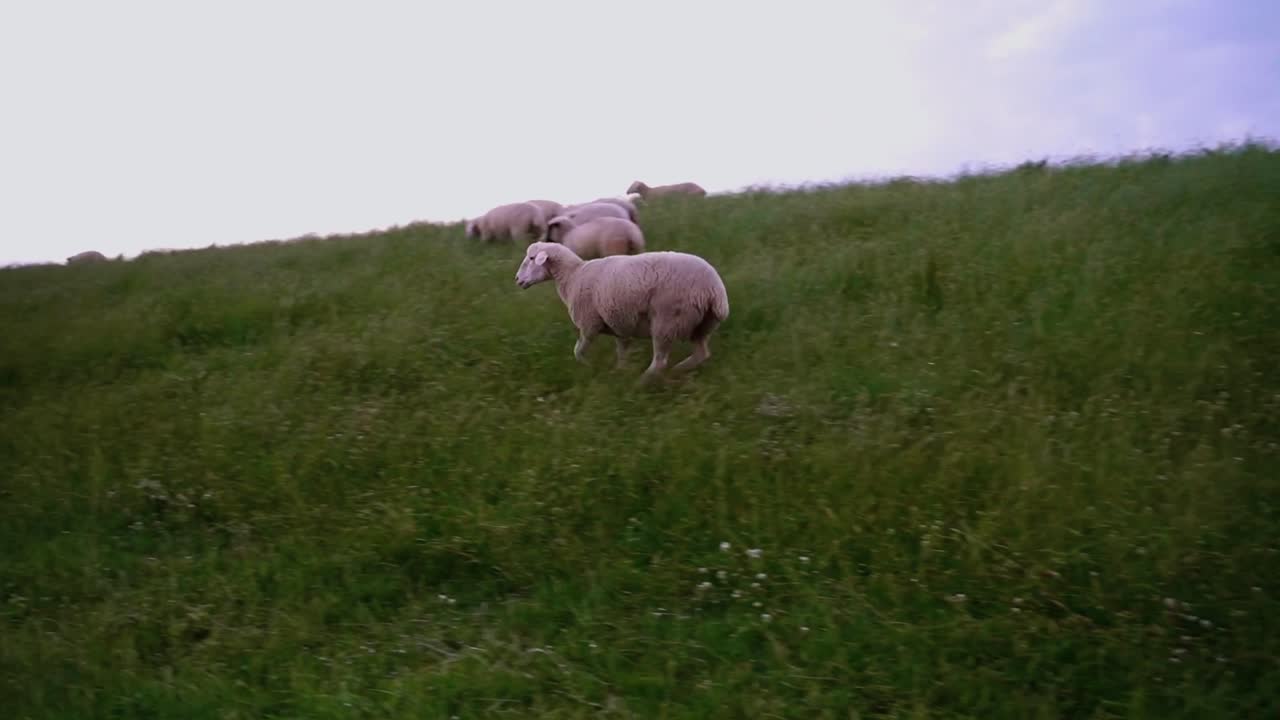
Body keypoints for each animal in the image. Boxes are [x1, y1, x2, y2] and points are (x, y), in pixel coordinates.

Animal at [514, 241, 729, 381]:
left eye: (531, 258)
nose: (517, 280)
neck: (573, 276)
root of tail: (715, 291)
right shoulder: (620, 324)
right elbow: (622, 352)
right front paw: (619, 372)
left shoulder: (589, 325)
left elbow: (578, 351)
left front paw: (589, 368)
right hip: (703, 325)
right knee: (701, 353)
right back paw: (678, 370)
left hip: (667, 320)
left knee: (659, 362)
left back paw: (642, 383)